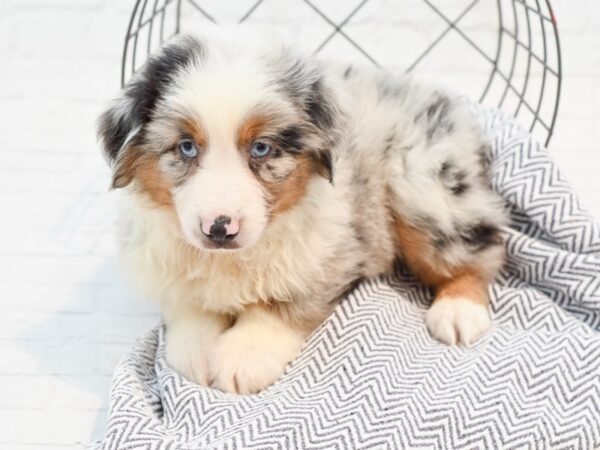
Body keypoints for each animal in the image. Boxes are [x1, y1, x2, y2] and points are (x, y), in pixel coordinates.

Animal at [97, 29, 506, 394]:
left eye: (261, 148)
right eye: (186, 147)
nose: (220, 229)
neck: (229, 258)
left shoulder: (327, 253)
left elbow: (279, 305)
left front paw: (243, 358)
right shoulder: (164, 261)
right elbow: (187, 304)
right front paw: (195, 351)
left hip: (423, 184)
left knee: (484, 246)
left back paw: (458, 311)